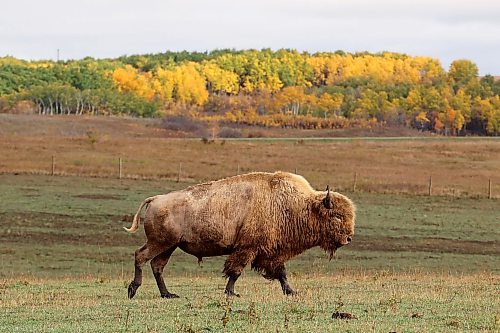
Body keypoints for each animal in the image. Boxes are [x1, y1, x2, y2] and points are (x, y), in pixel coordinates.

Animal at [123, 172, 354, 296]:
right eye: (337, 216)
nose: (348, 238)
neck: (297, 205)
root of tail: (155, 199)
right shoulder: (247, 248)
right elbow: (235, 271)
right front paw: (231, 292)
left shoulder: (272, 252)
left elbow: (281, 272)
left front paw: (291, 291)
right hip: (159, 243)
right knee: (141, 256)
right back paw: (133, 289)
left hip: (169, 246)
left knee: (157, 266)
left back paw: (168, 294)